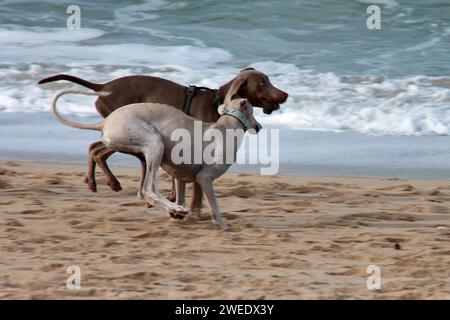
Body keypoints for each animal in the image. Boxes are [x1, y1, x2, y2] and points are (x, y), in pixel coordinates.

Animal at [37, 68, 286, 205]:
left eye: (269, 79)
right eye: (262, 84)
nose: (285, 94)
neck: (218, 102)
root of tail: (104, 85)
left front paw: (174, 197)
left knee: (95, 148)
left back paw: (97, 182)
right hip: (132, 134)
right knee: (97, 150)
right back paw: (107, 182)